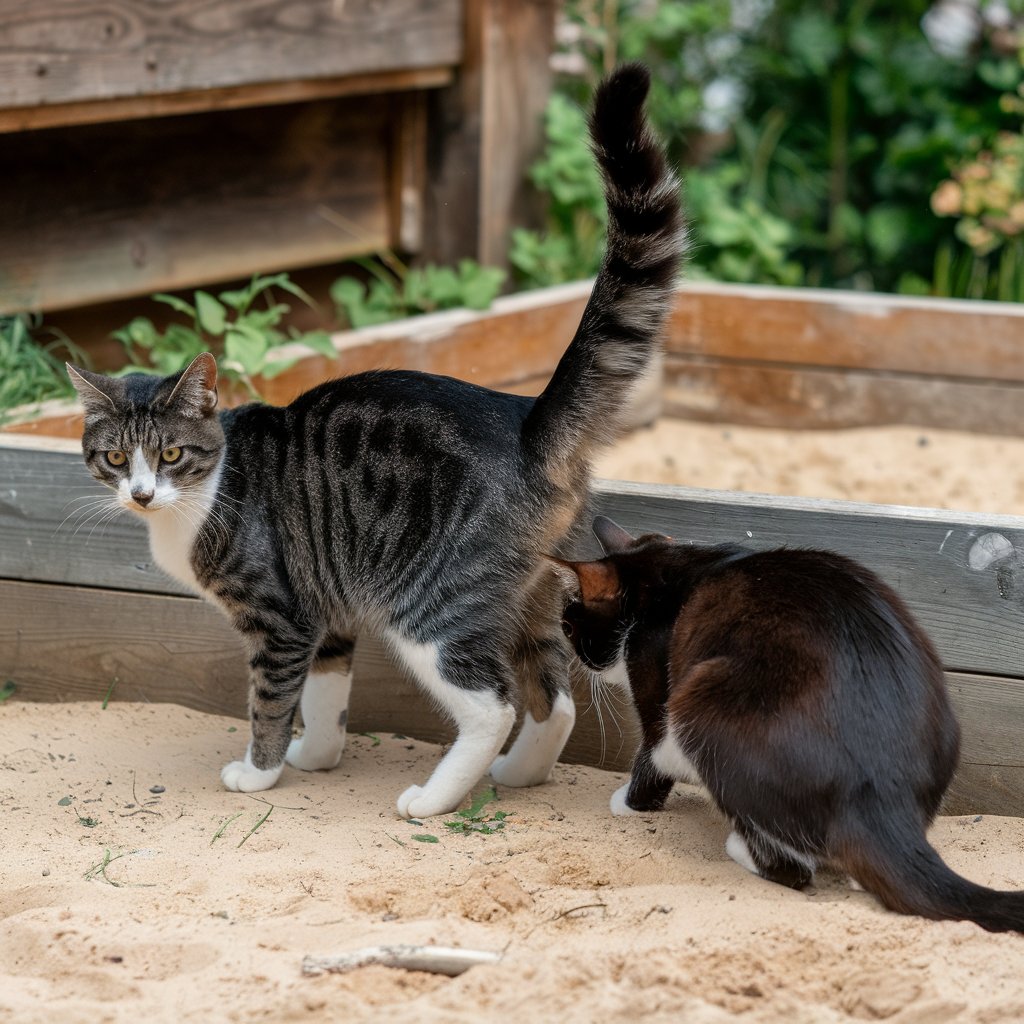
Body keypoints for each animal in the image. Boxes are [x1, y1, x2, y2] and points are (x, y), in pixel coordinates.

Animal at [68, 61, 684, 815]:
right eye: (115, 458)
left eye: (172, 455)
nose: (142, 493)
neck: (202, 498)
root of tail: (525, 418)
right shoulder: (324, 610)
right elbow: (326, 696)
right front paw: (317, 759)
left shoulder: (279, 618)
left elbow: (270, 703)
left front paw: (259, 773)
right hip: (532, 596)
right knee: (554, 696)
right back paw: (519, 773)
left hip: (431, 603)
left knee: (494, 704)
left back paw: (434, 798)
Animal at [552, 516, 1024, 933]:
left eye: (568, 627)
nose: (581, 663)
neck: (671, 567)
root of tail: (881, 798)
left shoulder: (654, 677)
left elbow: (652, 754)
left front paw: (628, 803)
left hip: (701, 702)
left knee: (794, 870)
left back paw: (743, 850)